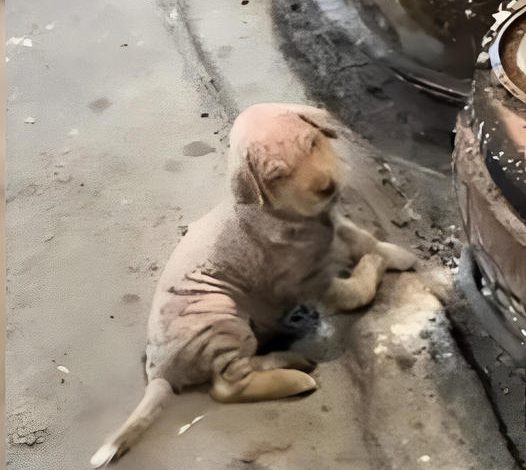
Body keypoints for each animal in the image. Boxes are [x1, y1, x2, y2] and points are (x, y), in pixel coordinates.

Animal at [92, 103, 420, 466]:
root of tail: (158, 371)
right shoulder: (309, 280)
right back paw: (294, 376)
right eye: (277, 175)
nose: (327, 187)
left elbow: (363, 238)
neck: (290, 215)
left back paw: (292, 359)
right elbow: (354, 292)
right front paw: (374, 266)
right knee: (228, 384)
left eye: (312, 144)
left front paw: (398, 254)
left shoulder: (337, 226)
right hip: (221, 318)